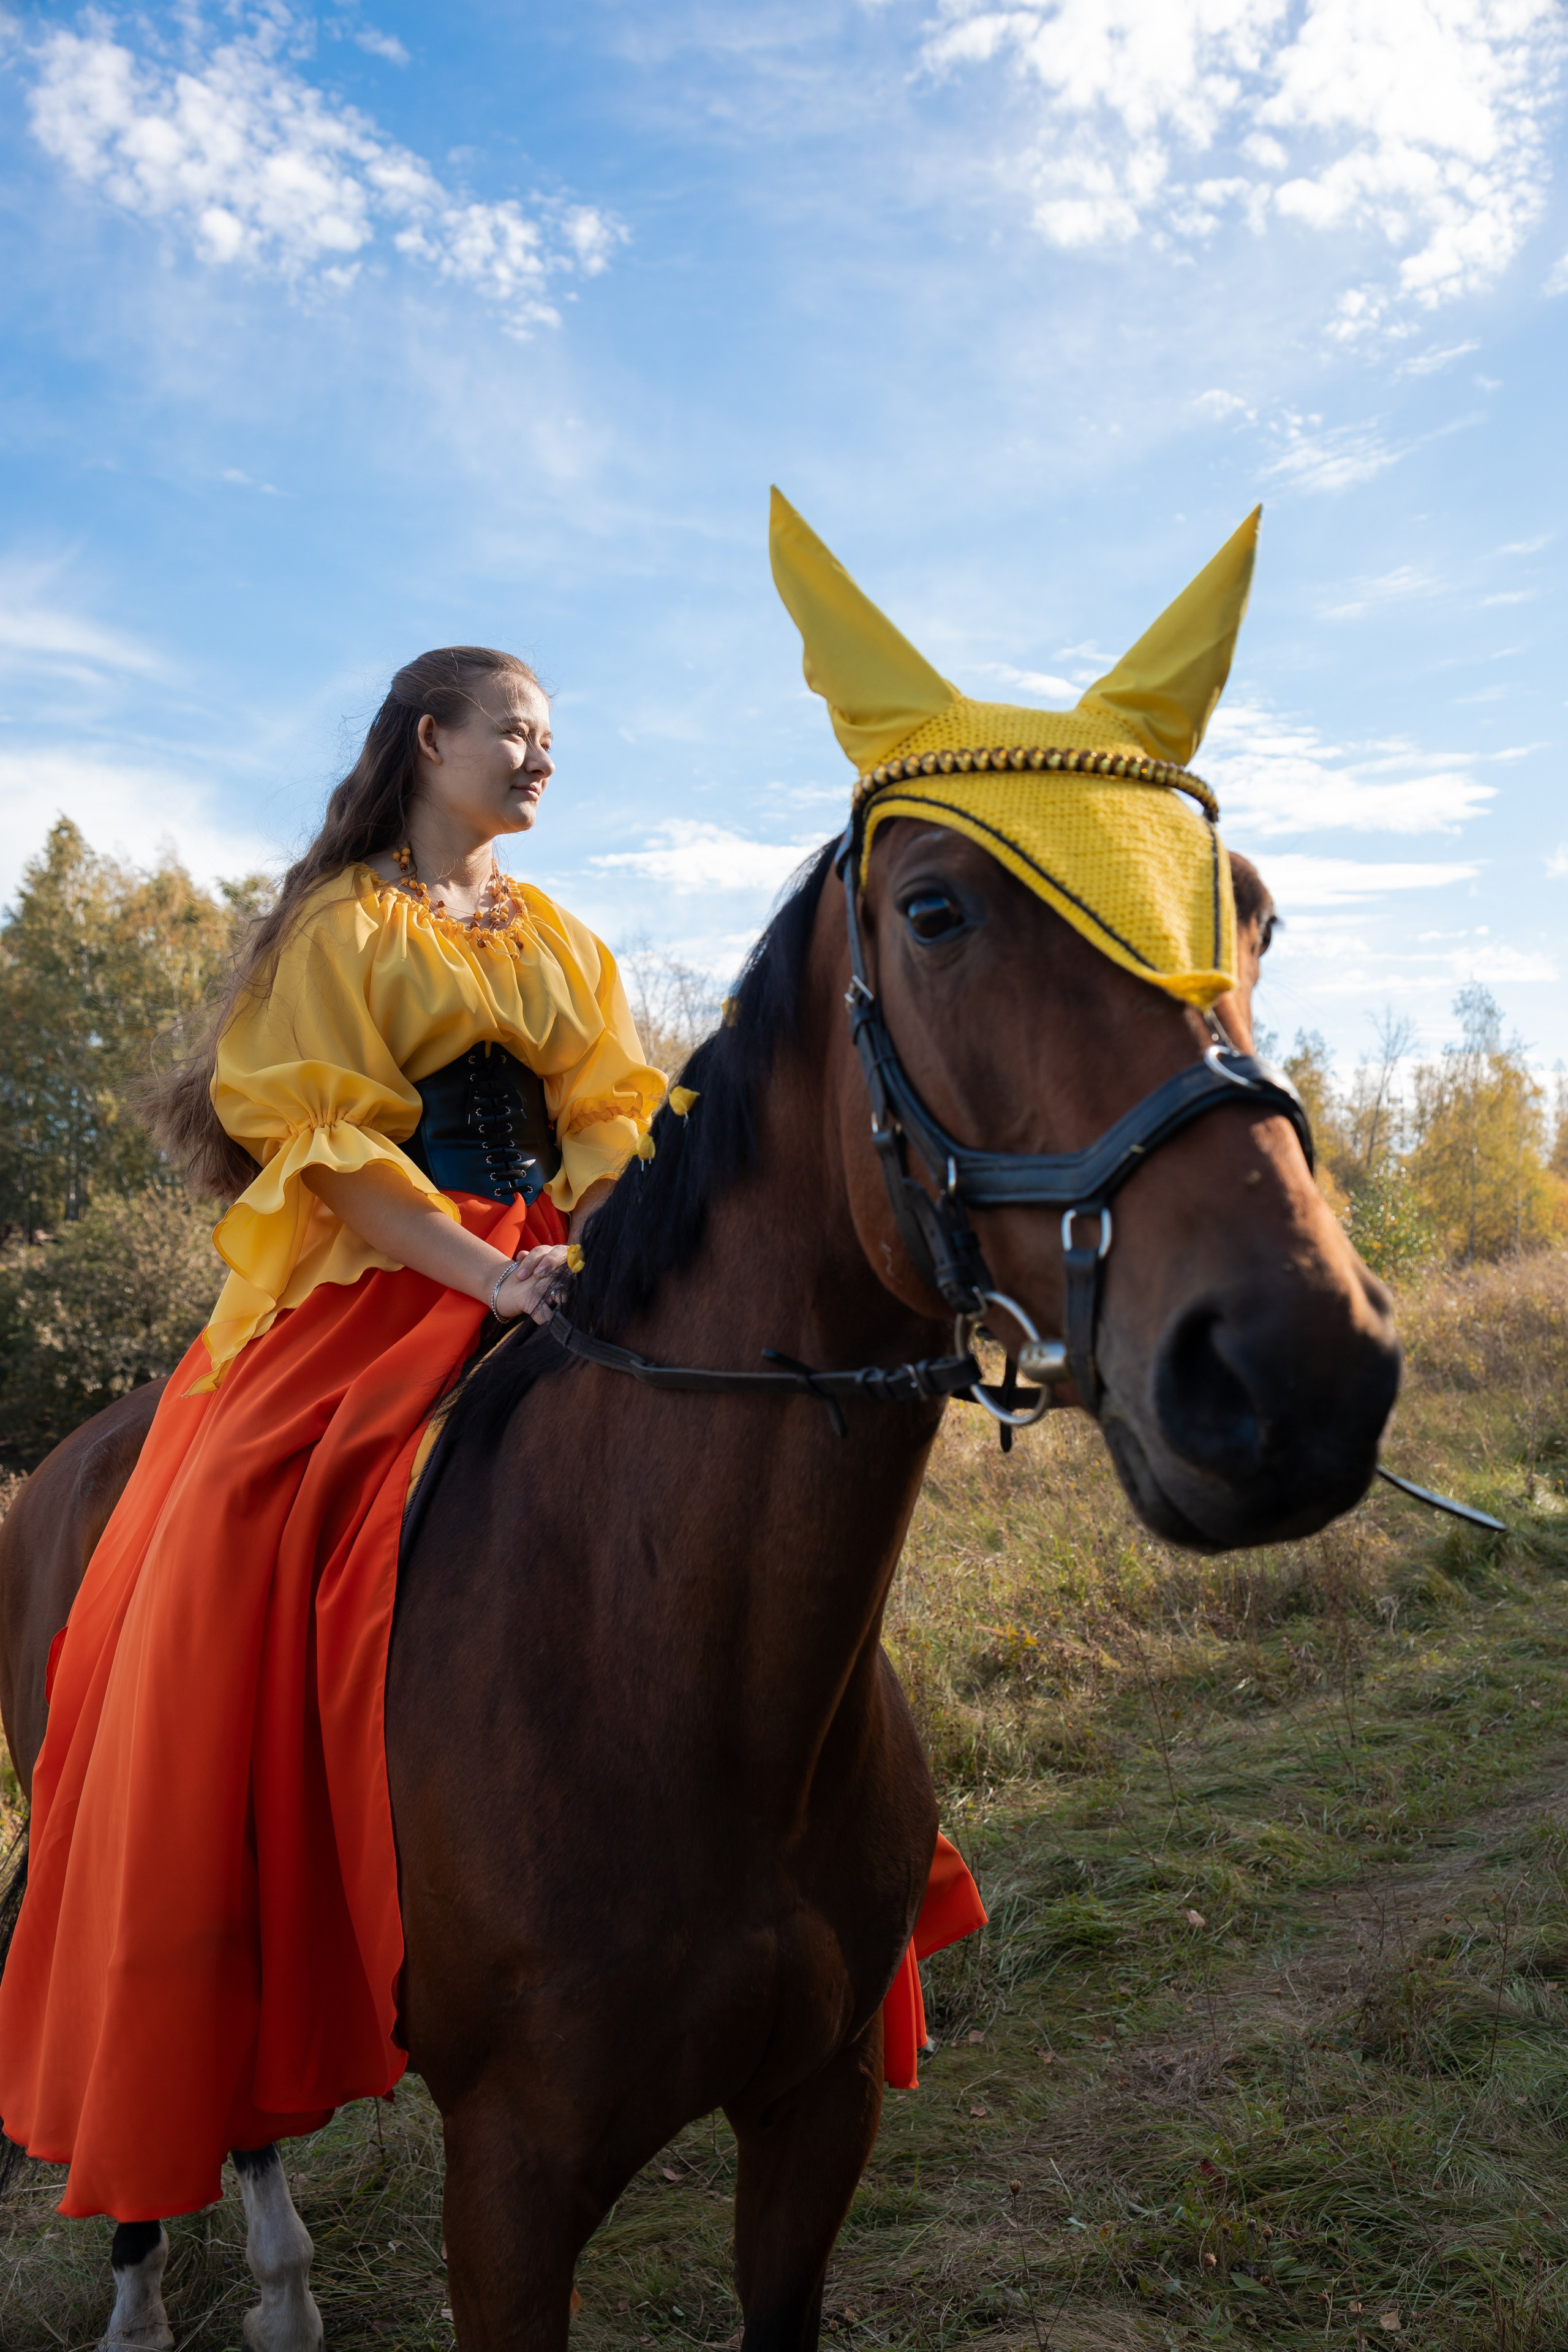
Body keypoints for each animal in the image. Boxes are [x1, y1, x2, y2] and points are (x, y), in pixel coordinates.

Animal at [0, 825, 1400, 2352]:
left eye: (1252, 918)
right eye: (933, 913)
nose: (1296, 1368)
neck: (686, 1686)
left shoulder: (815, 2110)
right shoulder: (508, 2183)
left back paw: (283, 2294)